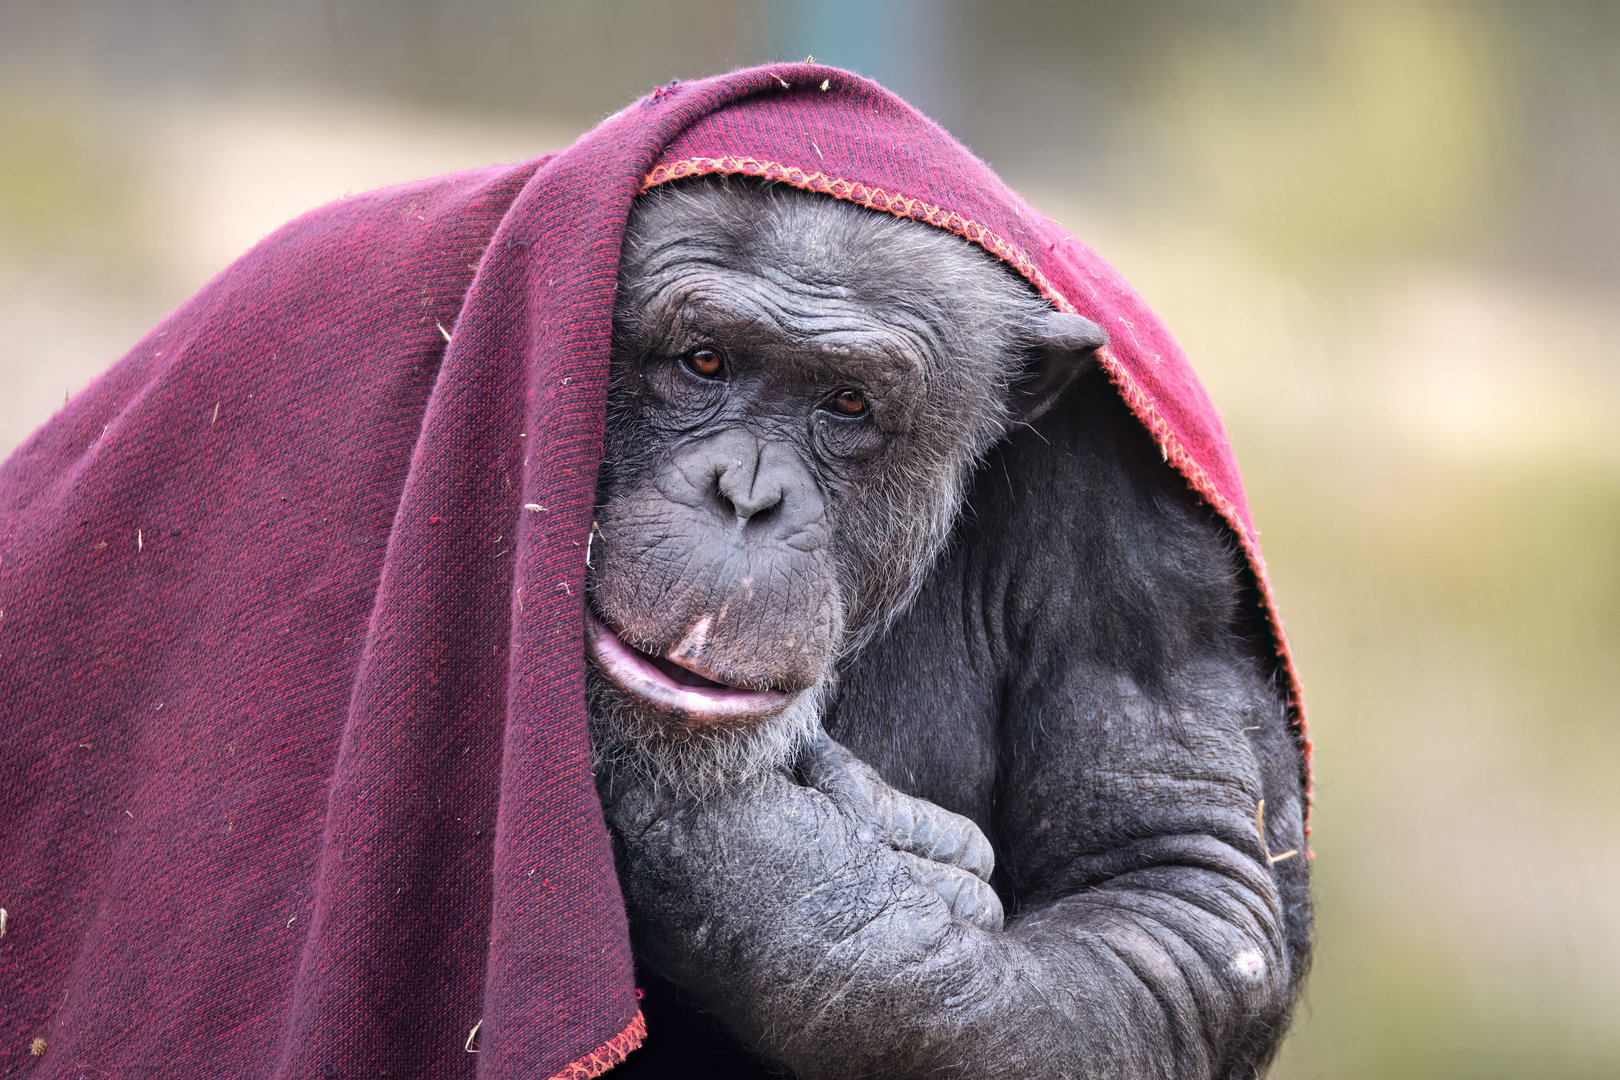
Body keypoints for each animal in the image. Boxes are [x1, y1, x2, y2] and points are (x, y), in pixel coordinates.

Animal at [585, 176, 1311, 1079]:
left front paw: (767, 858)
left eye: (848, 403)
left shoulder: (1138, 532)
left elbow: (1174, 885)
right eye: (704, 360)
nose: (747, 498)